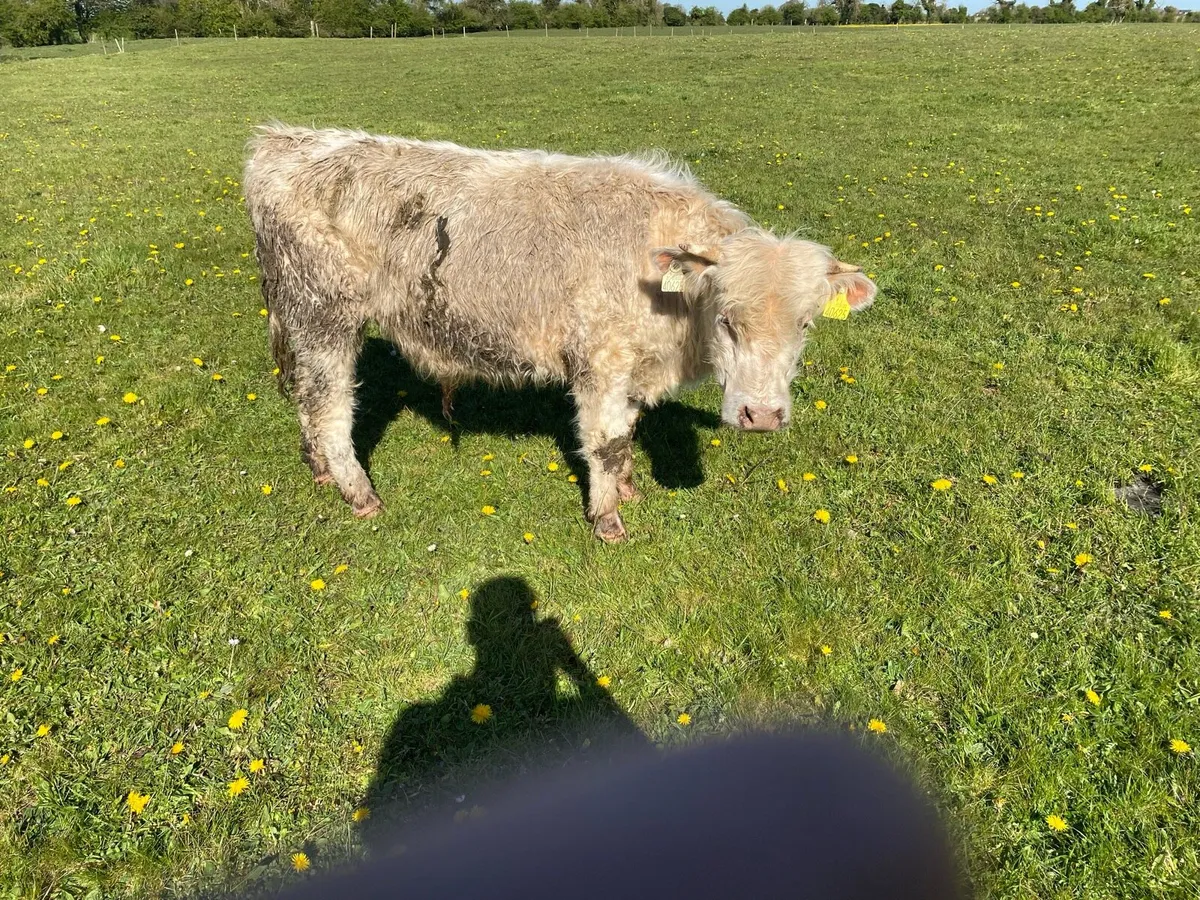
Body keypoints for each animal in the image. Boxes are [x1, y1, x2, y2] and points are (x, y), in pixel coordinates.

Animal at [243, 124, 876, 542]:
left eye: (805, 324)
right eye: (726, 318)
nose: (761, 416)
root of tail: (286, 139)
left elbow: (626, 433)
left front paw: (625, 488)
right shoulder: (601, 361)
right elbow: (607, 440)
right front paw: (608, 518)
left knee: (306, 398)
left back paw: (319, 470)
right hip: (324, 315)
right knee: (329, 407)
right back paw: (358, 492)